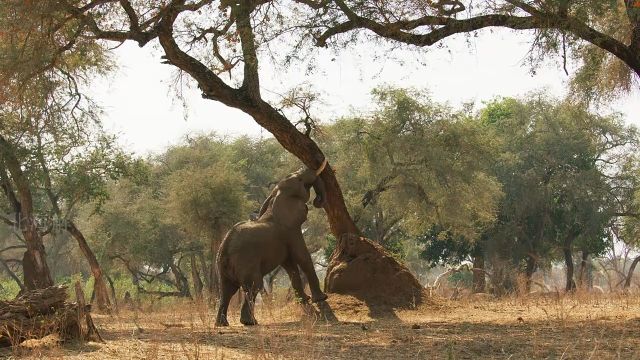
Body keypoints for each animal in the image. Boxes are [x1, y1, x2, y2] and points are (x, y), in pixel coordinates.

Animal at [218, 160, 332, 326]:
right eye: (299, 180)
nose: (318, 201)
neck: (275, 199)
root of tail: (225, 248)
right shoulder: (290, 230)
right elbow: (302, 257)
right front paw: (321, 298)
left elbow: (290, 266)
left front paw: (304, 300)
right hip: (246, 262)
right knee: (253, 286)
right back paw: (250, 322)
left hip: (222, 267)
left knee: (226, 290)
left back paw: (222, 324)